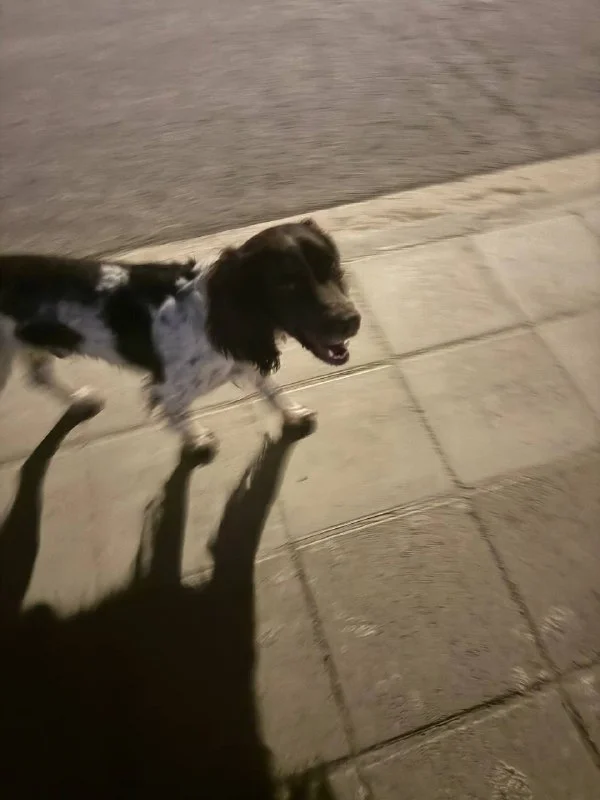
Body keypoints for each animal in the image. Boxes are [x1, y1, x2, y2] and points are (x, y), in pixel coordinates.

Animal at [0, 219, 361, 458]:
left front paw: (292, 413)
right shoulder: (166, 389)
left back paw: (79, 400)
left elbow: (270, 387)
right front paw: (197, 441)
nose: (352, 321)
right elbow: (178, 415)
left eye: (332, 265)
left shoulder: (245, 355)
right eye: (286, 282)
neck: (213, 316)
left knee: (38, 375)